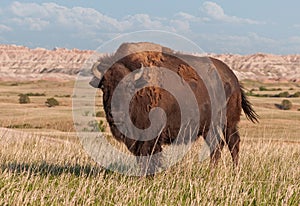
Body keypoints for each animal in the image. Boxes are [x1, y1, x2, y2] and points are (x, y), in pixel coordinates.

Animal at [88, 42, 258, 175]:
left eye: (129, 86)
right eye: (104, 87)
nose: (115, 114)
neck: (140, 87)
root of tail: (233, 78)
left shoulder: (151, 136)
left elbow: (150, 155)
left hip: (229, 122)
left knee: (232, 143)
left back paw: (234, 171)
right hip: (209, 127)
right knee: (217, 146)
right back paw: (213, 172)